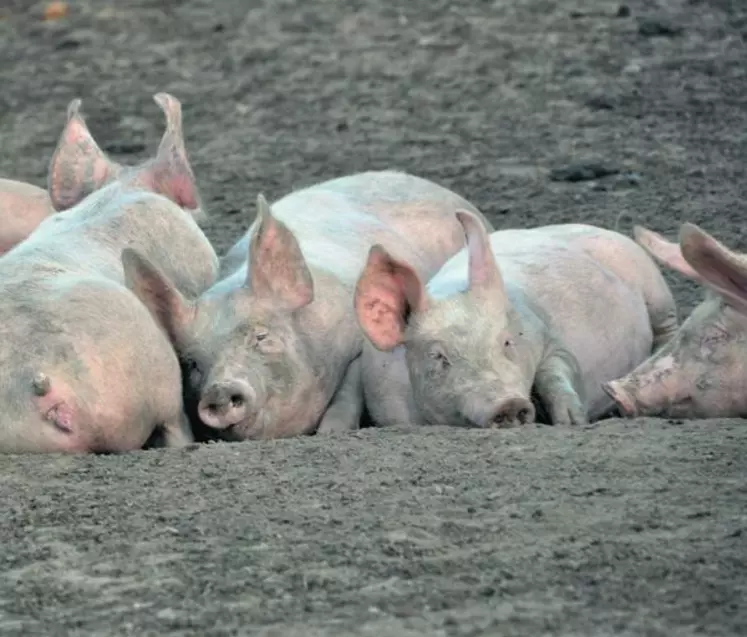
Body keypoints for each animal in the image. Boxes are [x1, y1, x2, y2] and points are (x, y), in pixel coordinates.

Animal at [121, 173, 496, 442]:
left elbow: (348, 394)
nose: (220, 390)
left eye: (261, 336)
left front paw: (330, 432)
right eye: (193, 363)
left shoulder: (357, 344)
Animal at [354, 210, 680, 428]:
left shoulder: (545, 333)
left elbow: (556, 368)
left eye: (507, 342)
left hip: (655, 288)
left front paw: (572, 421)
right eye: (439, 357)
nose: (508, 403)